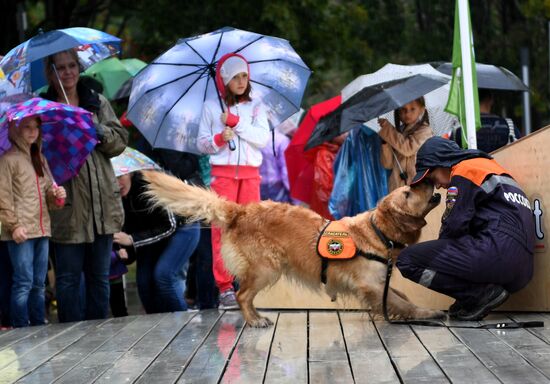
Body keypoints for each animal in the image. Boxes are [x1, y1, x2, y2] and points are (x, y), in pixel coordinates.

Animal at [141, 171, 444, 328]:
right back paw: (255, 320)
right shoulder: (370, 283)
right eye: (407, 193)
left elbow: (400, 296)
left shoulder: (380, 281)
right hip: (267, 268)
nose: (429, 179)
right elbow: (401, 301)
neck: (378, 230)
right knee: (242, 295)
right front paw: (428, 314)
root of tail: (240, 210)